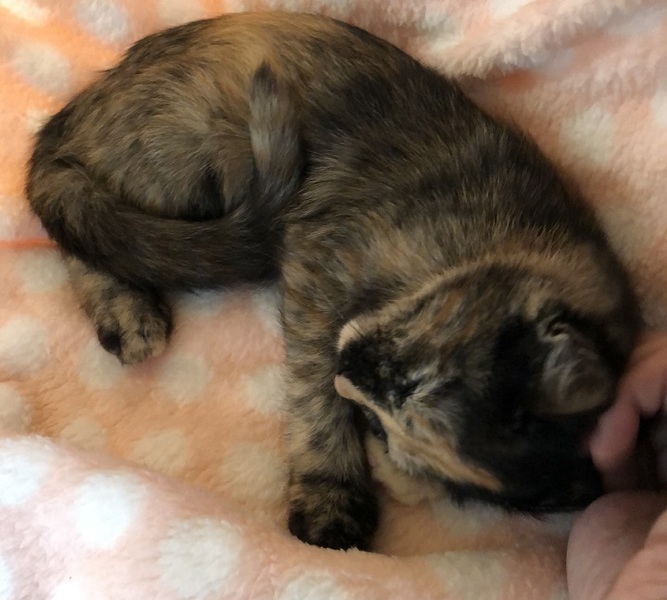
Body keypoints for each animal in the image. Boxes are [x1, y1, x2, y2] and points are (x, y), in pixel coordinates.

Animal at [25, 12, 641, 551]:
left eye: (384, 426)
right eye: (417, 368)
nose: (352, 367)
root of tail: (77, 108)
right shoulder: (319, 268)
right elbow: (312, 392)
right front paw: (331, 500)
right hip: (188, 154)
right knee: (95, 230)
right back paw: (128, 317)